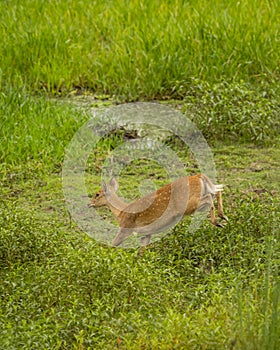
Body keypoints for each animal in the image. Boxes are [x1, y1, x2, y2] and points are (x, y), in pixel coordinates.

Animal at [88, 174, 229, 246]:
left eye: (97, 194)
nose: (89, 204)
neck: (121, 212)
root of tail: (200, 176)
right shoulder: (146, 233)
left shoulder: (126, 228)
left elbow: (113, 244)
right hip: (204, 193)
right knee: (219, 189)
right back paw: (223, 216)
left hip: (188, 205)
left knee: (210, 197)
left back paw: (218, 222)